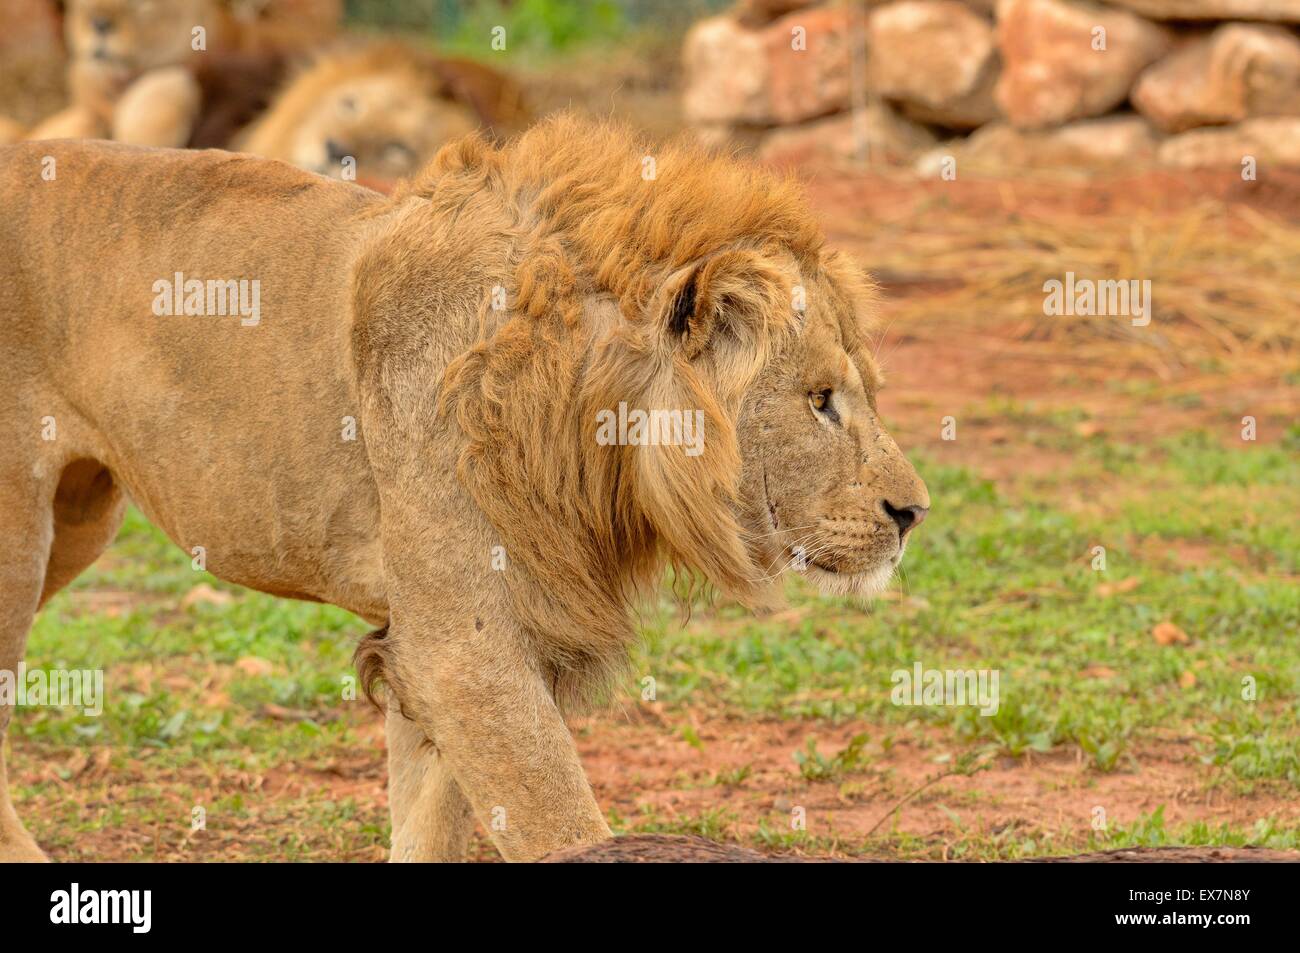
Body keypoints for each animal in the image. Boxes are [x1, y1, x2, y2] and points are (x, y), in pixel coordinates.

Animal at [0, 115, 928, 863]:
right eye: (819, 399)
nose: (914, 512)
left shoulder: (430, 638)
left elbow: (431, 819)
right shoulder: (463, 647)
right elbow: (561, 822)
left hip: (80, 516)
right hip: (18, 535)